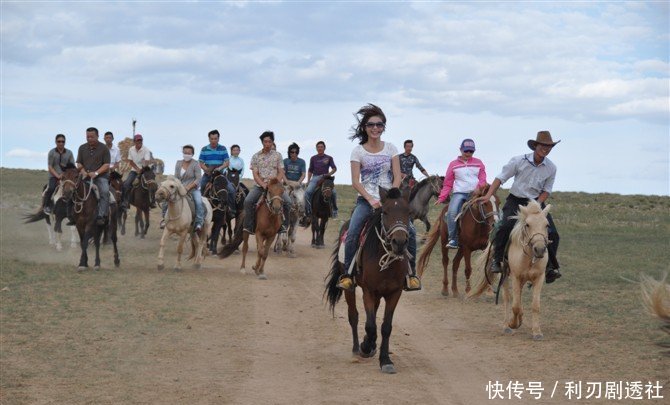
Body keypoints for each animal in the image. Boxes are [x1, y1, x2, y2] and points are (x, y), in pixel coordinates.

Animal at [326, 186, 414, 372]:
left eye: (408, 212)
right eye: (385, 212)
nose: (399, 242)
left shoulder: (394, 293)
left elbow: (385, 327)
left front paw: (385, 360)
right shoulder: (368, 291)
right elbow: (371, 325)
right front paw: (366, 347)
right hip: (350, 288)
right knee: (354, 316)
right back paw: (356, 348)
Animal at [470, 200, 552, 340]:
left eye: (546, 225)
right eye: (527, 225)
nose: (540, 249)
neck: (528, 257)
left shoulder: (539, 277)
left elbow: (535, 305)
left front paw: (537, 332)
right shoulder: (515, 277)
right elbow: (515, 305)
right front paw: (513, 323)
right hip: (505, 276)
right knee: (508, 298)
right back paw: (506, 326)